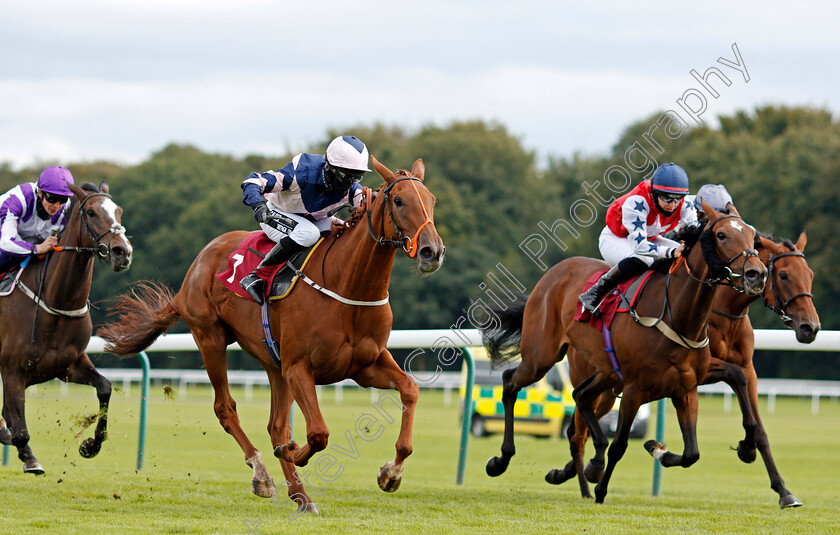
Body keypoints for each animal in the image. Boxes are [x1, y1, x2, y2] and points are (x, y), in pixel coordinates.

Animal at [0, 183, 132, 474]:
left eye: (118, 211)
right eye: (91, 212)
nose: (123, 251)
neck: (56, 303)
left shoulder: (67, 365)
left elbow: (104, 387)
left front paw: (91, 445)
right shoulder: (12, 369)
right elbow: (19, 426)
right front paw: (29, 458)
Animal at [98, 156, 446, 516]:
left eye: (432, 200)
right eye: (399, 200)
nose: (432, 251)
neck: (348, 288)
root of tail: (192, 272)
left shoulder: (365, 365)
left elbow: (410, 391)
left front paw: (391, 473)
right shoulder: (300, 367)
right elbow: (318, 433)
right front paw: (292, 452)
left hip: (274, 363)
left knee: (276, 425)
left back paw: (301, 494)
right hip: (210, 338)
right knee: (226, 408)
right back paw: (263, 474)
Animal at [482, 203, 764, 504]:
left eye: (752, 234)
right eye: (722, 235)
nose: (757, 273)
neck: (676, 314)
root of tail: (554, 272)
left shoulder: (686, 390)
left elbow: (692, 453)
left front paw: (657, 448)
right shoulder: (634, 390)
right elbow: (619, 445)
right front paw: (601, 491)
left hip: (605, 372)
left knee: (579, 396)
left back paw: (590, 463)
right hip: (541, 356)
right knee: (511, 383)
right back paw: (501, 460)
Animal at [548, 229, 816, 506]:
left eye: (810, 276)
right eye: (784, 275)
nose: (810, 327)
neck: (722, 309)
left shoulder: (746, 368)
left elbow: (758, 422)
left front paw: (781, 487)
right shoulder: (704, 369)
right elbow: (734, 375)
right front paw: (747, 448)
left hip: (609, 383)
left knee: (579, 417)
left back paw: (572, 472)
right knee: (578, 432)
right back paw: (586, 477)